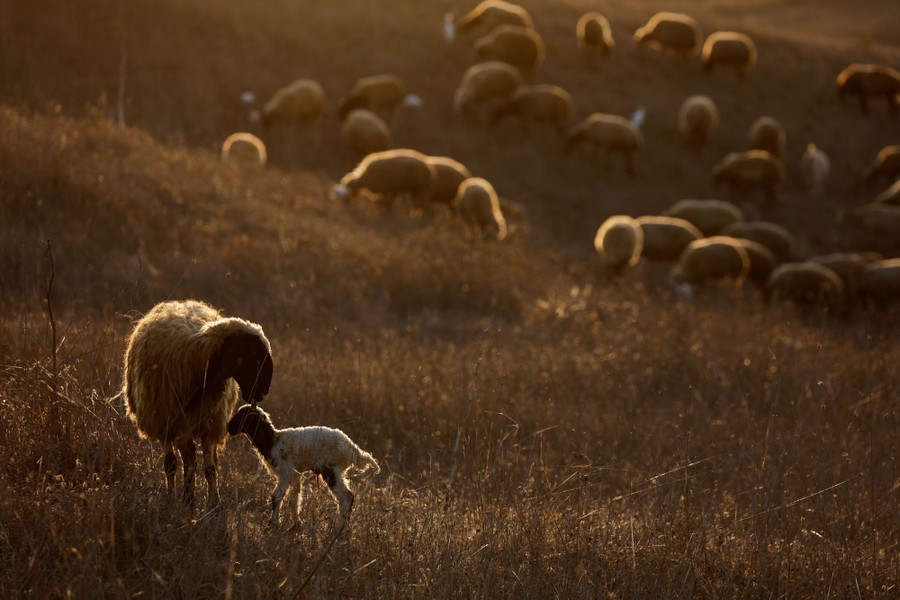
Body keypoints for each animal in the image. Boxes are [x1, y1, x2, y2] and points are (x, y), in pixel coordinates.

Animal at [122, 300, 274, 508]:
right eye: (252, 353)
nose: (263, 392)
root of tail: (176, 303)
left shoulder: (210, 424)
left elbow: (209, 467)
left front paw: (214, 503)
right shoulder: (175, 422)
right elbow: (185, 460)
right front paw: (187, 501)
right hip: (165, 423)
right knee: (171, 462)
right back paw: (173, 495)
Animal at [227, 404, 379, 529]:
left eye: (242, 416)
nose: (229, 428)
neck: (273, 441)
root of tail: (353, 449)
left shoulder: (286, 472)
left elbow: (276, 497)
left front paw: (272, 525)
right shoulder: (295, 474)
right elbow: (294, 499)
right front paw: (296, 525)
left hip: (331, 470)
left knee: (346, 498)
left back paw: (338, 530)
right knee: (348, 498)